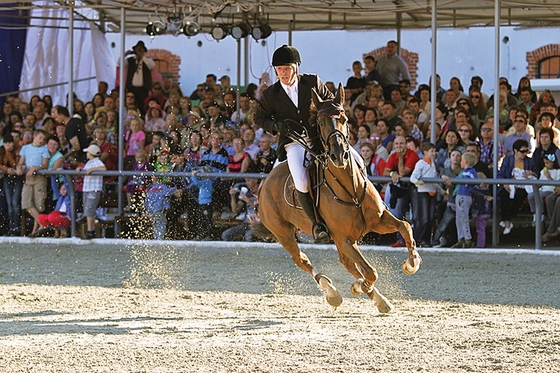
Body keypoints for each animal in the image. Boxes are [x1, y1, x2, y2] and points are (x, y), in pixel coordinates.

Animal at [254, 83, 420, 310]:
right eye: (320, 122)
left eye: (344, 117)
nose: (338, 155)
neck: (351, 190)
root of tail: (265, 181)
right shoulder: (343, 237)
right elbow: (370, 272)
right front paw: (359, 286)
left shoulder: (378, 221)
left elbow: (405, 227)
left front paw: (412, 263)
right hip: (284, 234)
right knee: (302, 260)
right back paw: (332, 292)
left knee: (347, 262)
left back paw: (379, 300)